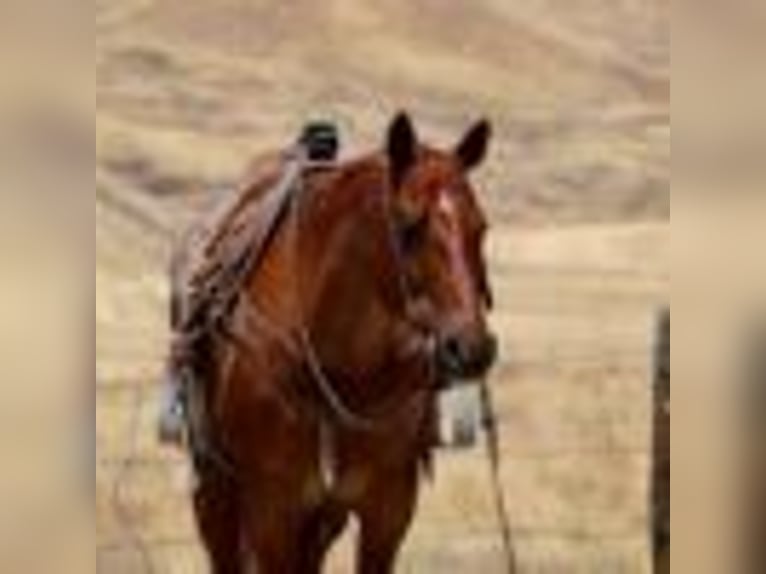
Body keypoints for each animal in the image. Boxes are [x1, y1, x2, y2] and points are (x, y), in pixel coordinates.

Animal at [190, 112, 498, 573]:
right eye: (408, 226)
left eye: (481, 227)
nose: (471, 348)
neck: (339, 366)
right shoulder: (272, 509)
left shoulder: (388, 507)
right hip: (216, 496)